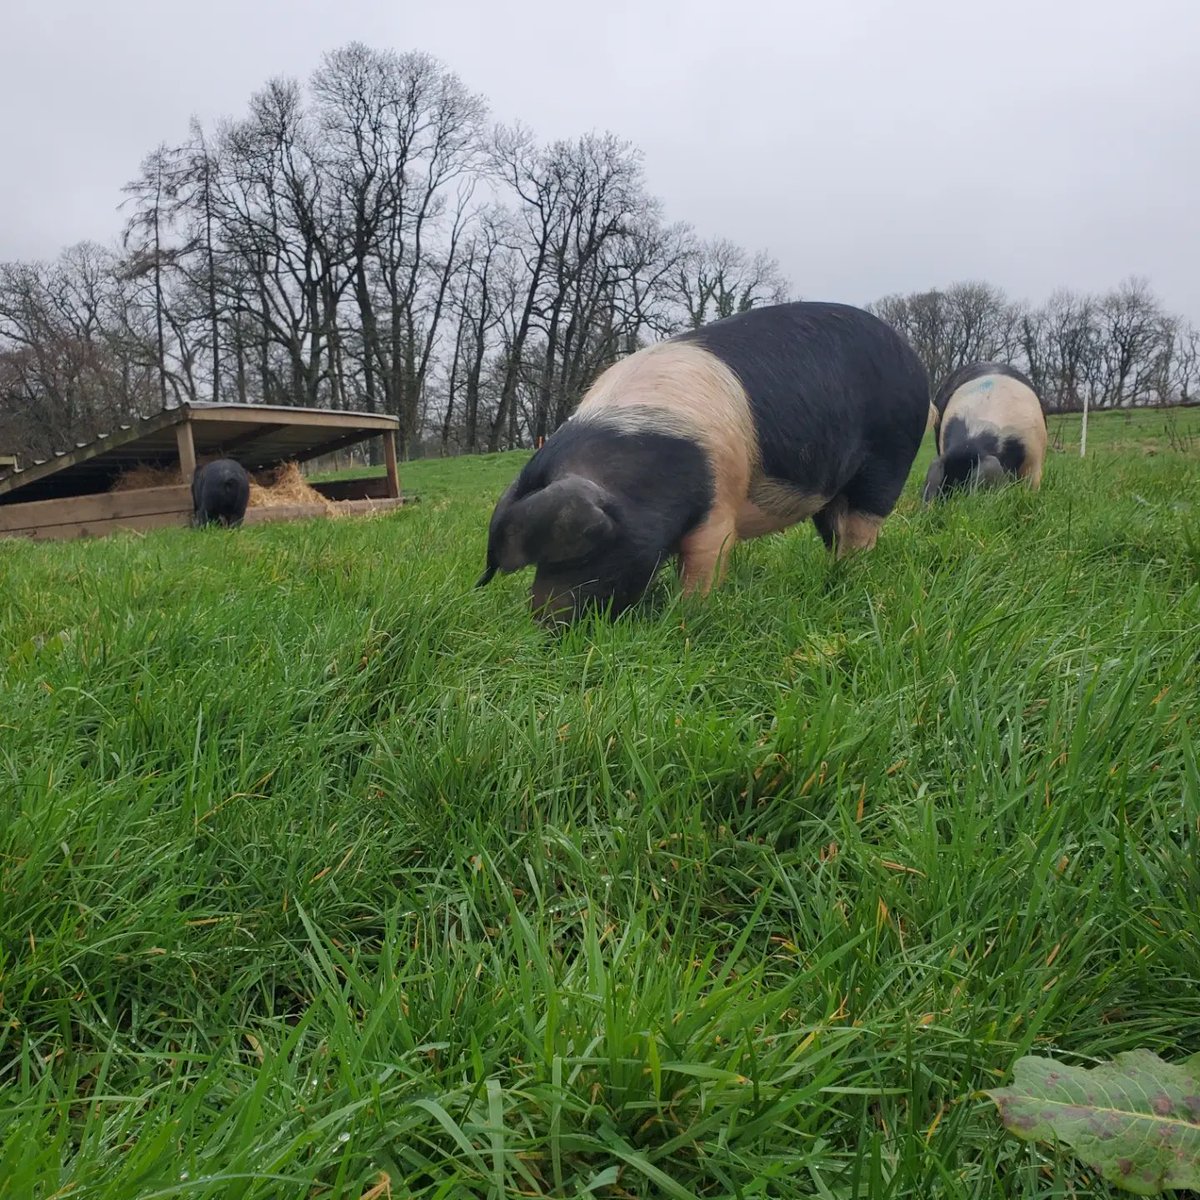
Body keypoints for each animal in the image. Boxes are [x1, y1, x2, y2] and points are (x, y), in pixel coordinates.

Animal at [476, 300, 931, 625]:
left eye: (578, 554)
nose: (543, 624)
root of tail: (911, 355)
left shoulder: (719, 500)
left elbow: (706, 558)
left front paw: (686, 615)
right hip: (832, 490)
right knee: (835, 528)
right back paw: (834, 576)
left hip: (891, 453)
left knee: (864, 523)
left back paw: (854, 575)